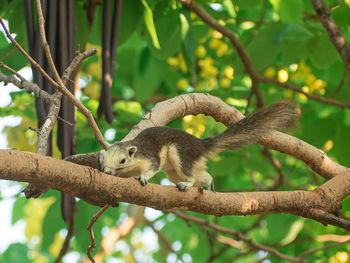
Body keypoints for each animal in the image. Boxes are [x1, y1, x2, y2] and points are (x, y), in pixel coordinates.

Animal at [99, 102, 298, 193]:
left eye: (123, 160)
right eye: (102, 161)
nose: (107, 171)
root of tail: (201, 145)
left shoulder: (150, 156)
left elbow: (152, 167)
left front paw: (143, 178)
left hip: (179, 153)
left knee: (191, 176)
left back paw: (187, 184)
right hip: (174, 172)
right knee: (202, 176)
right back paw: (209, 184)